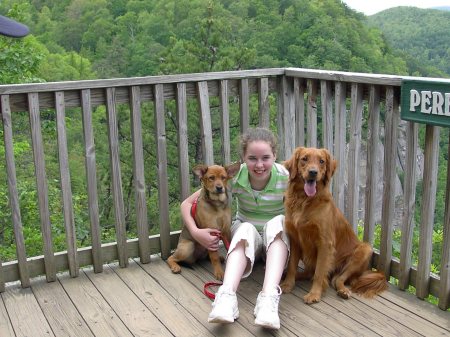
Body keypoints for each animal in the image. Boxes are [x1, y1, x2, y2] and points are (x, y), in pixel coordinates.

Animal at [280, 146, 388, 302]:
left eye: (322, 161)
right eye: (304, 159)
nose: (313, 172)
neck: (304, 200)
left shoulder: (325, 243)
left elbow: (319, 272)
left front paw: (314, 294)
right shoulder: (295, 239)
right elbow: (292, 266)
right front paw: (288, 284)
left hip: (365, 250)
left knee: (337, 279)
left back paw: (343, 291)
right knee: (311, 273)